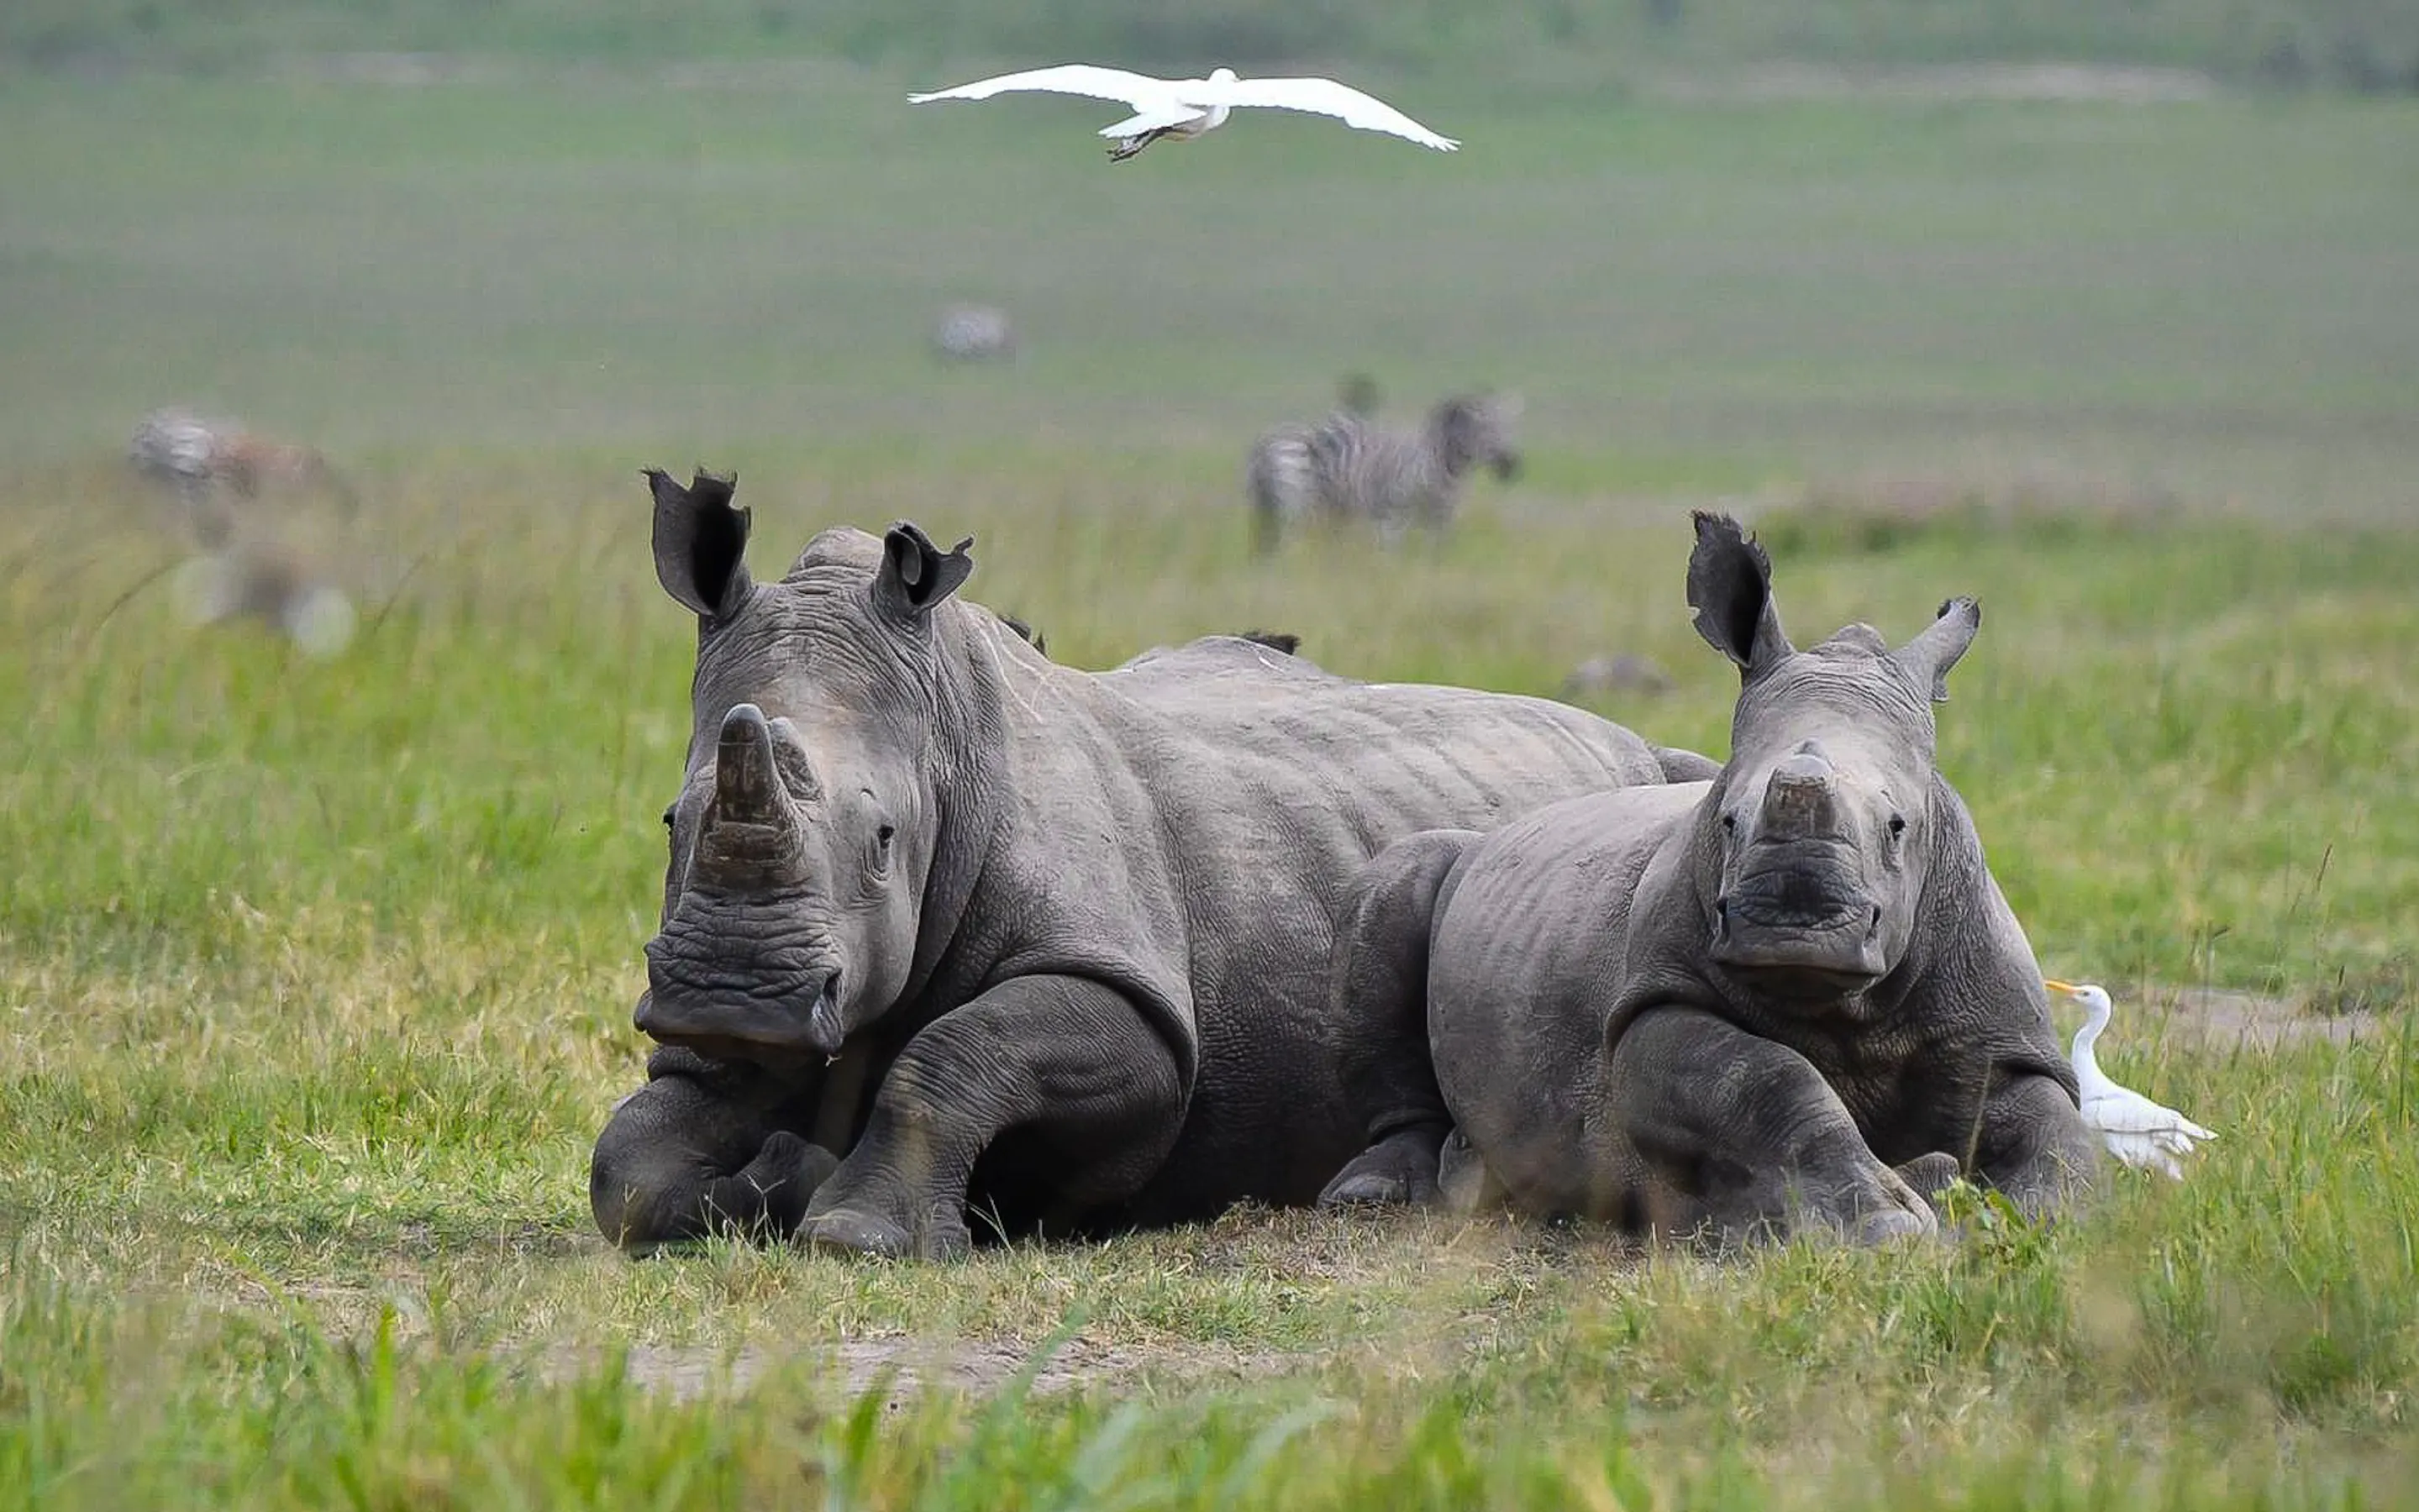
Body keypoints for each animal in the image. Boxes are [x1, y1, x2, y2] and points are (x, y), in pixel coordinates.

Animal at [588, 469, 1719, 1259]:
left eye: (882, 841)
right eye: (670, 820)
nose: (732, 999)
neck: (948, 735)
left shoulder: (1133, 1001)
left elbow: (957, 1053)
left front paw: (850, 1232)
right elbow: (627, 1164)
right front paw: (778, 1173)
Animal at [1244, 389, 1522, 556]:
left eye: (1505, 428)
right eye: (1481, 430)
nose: (1511, 467)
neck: (1436, 464)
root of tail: (1264, 442)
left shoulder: (1441, 518)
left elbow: (1434, 556)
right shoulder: (1394, 512)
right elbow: (1392, 554)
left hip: (1268, 503)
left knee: (1267, 545)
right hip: (1294, 499)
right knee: (1286, 542)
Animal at [1316, 511, 2099, 1243]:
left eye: (1897, 826)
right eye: (1726, 819)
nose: (1793, 929)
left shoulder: (2000, 1038)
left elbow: (2053, 1126)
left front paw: (2049, 1219)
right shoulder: (1652, 1003)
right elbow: (1764, 1079)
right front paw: (1884, 1228)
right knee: (1401, 883)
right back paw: (1379, 1193)